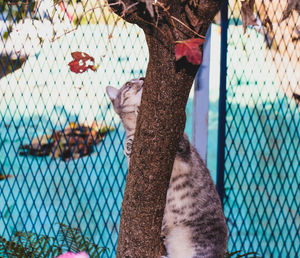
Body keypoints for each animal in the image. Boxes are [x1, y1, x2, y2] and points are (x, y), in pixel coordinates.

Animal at [105, 78, 227, 258]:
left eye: (140, 77)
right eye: (128, 83)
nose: (142, 78)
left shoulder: (184, 149)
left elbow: (180, 142)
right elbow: (128, 146)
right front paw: (128, 144)